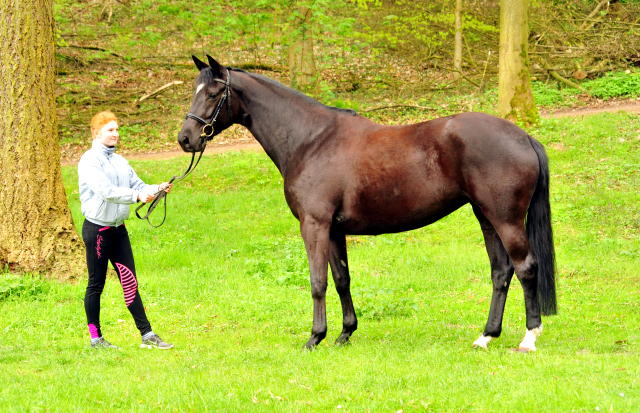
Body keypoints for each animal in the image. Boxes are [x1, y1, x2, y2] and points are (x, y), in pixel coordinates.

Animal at [176, 54, 556, 350]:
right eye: (194, 92)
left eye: (213, 94)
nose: (186, 139)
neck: (310, 140)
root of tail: (523, 136)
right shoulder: (333, 230)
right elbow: (341, 279)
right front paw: (344, 334)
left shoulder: (314, 225)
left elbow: (317, 281)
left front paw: (314, 338)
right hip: (486, 216)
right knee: (501, 271)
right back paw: (486, 336)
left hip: (505, 219)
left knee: (525, 268)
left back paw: (528, 338)